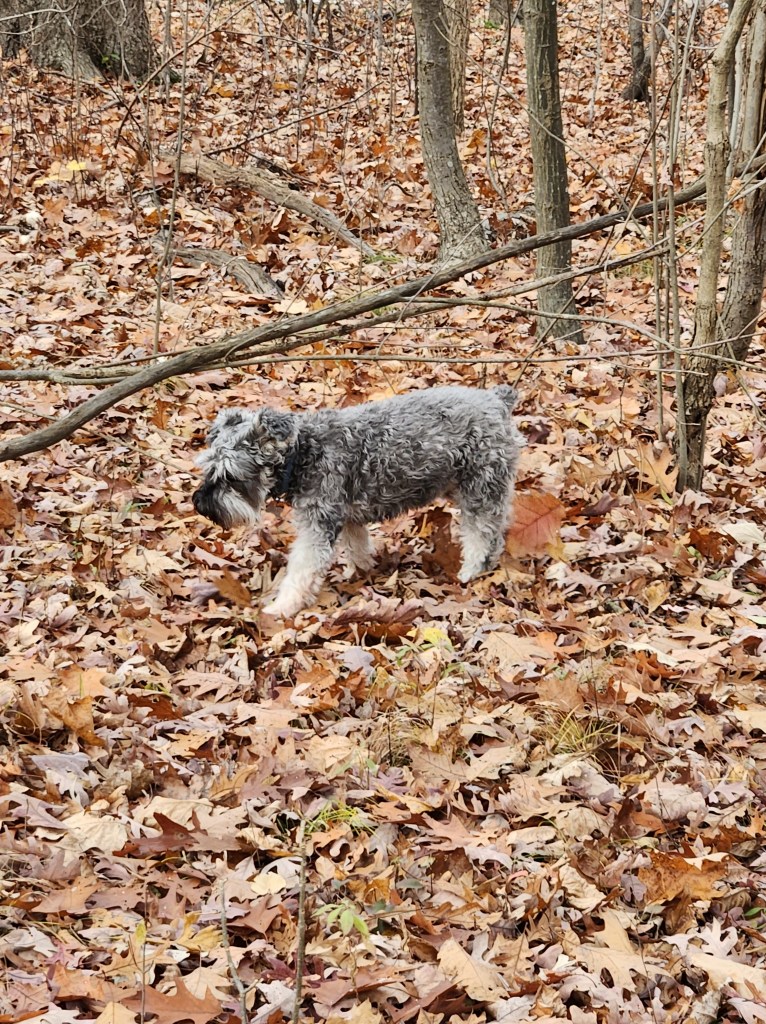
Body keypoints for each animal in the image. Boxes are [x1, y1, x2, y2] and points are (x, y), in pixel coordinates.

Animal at [193, 385, 524, 618]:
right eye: (207, 467)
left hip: (480, 488)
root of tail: (498, 400)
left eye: (230, 476)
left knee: (481, 534)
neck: (302, 453)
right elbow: (357, 547)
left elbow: (301, 569)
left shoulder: (318, 524)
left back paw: (472, 570)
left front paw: (283, 606)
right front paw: (362, 571)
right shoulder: (348, 518)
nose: (200, 504)